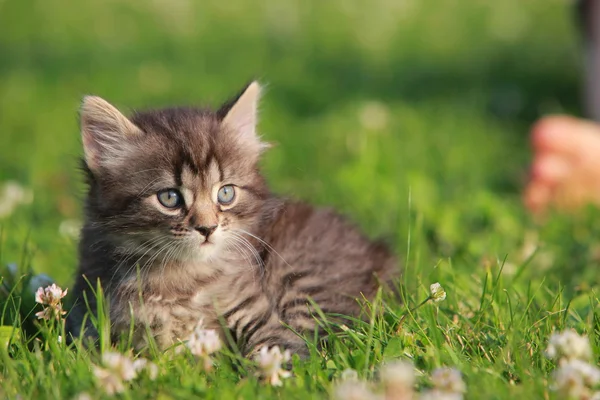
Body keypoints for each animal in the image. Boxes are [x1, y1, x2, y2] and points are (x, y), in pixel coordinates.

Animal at [65, 81, 398, 356]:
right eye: (169, 198)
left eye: (225, 194)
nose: (207, 228)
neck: (179, 276)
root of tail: (378, 251)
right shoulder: (89, 313)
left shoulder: (257, 309)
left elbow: (279, 353)